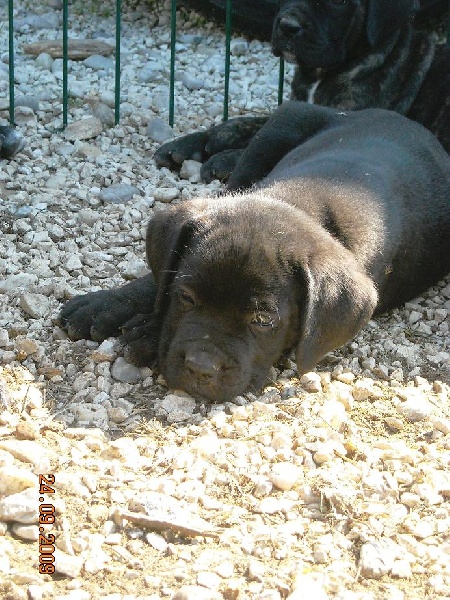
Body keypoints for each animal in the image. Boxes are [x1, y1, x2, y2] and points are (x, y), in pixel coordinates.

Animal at [57, 102, 450, 404]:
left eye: (262, 320)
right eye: (186, 297)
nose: (200, 367)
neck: (302, 202)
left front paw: (146, 332)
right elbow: (157, 279)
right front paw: (106, 304)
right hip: (286, 120)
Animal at [154, 0, 446, 182]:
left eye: (340, 1)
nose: (287, 26)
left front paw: (224, 159)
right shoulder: (298, 107)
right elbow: (249, 123)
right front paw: (192, 142)